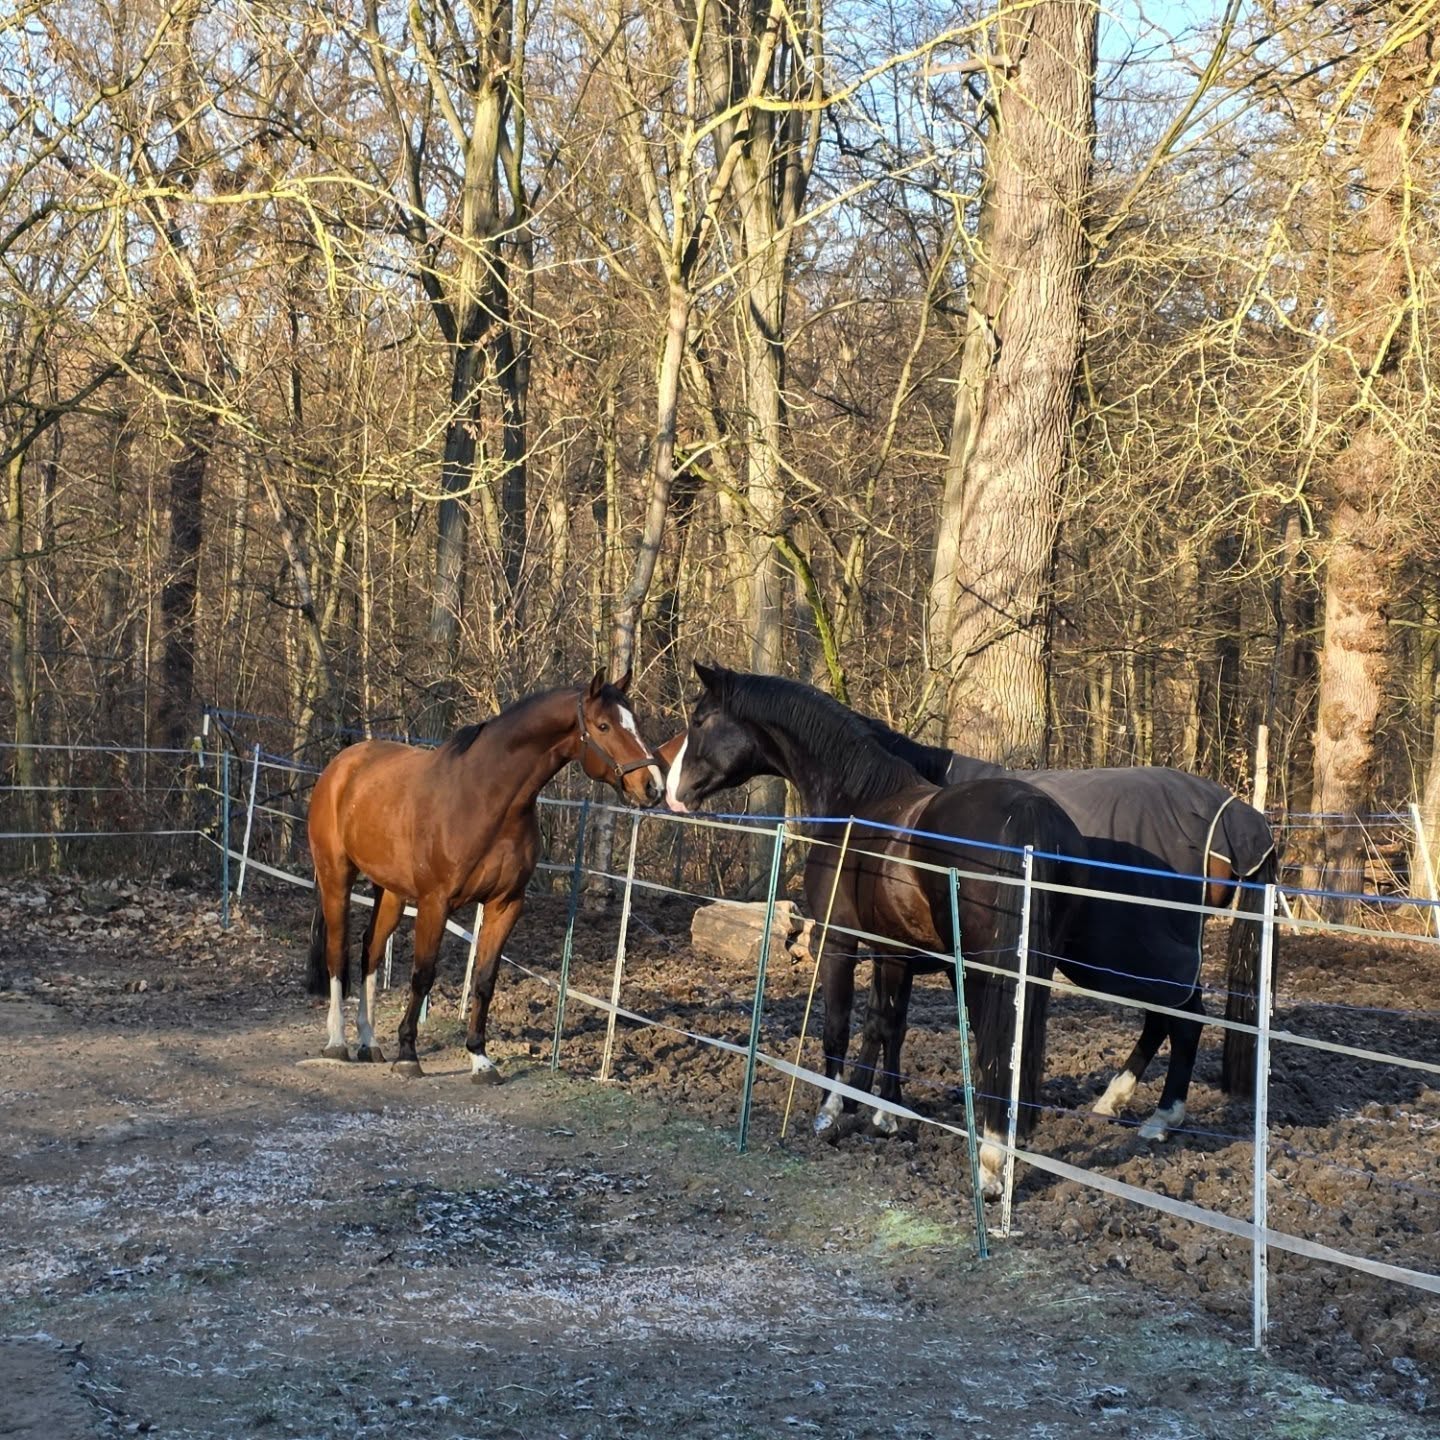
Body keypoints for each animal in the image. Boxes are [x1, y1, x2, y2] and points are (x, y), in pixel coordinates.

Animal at [305, 672, 664, 1078]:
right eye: (603, 725)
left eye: (634, 722)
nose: (652, 786)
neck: (484, 798)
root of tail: (340, 766)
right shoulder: (435, 902)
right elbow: (423, 974)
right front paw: (409, 1055)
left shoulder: (504, 904)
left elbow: (484, 980)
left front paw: (480, 1057)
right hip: (336, 877)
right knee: (338, 951)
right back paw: (338, 1042)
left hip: (390, 891)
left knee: (371, 950)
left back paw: (369, 1042)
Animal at [664, 663, 1088, 1198]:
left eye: (700, 720)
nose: (673, 793)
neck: (857, 800)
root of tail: (1027, 813)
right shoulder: (895, 952)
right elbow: (888, 1025)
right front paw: (886, 1112)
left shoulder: (838, 940)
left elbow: (840, 1026)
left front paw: (831, 1112)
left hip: (983, 970)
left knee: (995, 1049)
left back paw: (991, 1163)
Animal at [858, 714, 1279, 1140]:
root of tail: (1239, 815)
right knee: (1165, 1018)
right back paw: (1114, 1101)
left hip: (1151, 954)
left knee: (1183, 1020)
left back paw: (1160, 1118)